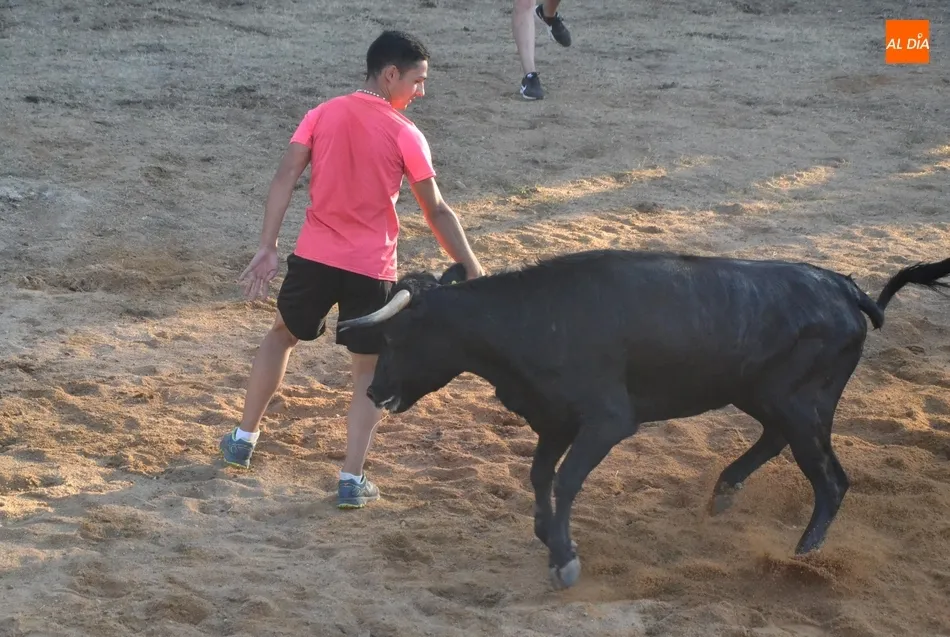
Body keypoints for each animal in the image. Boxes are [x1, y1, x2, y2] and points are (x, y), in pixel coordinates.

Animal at [336, 248, 950, 590]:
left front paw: (564, 558)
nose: (376, 389)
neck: (533, 319)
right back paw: (725, 492)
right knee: (778, 443)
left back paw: (803, 557)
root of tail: (846, 288)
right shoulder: (554, 421)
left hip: (803, 405)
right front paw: (548, 536)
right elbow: (539, 476)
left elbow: (564, 479)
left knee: (831, 479)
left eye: (396, 336)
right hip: (764, 395)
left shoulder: (607, 422)